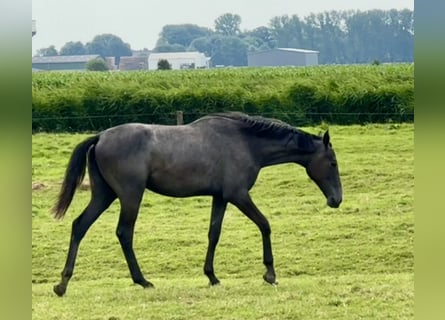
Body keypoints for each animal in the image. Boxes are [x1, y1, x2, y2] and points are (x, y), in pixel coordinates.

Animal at [53, 111, 344, 296]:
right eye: (332, 163)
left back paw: (62, 284)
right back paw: (142, 281)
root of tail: (100, 136)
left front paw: (212, 276)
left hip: (104, 195)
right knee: (124, 232)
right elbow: (265, 224)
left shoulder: (221, 197)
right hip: (130, 196)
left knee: (79, 226)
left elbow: (214, 233)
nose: (336, 200)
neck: (246, 143)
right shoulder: (239, 195)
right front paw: (270, 274)